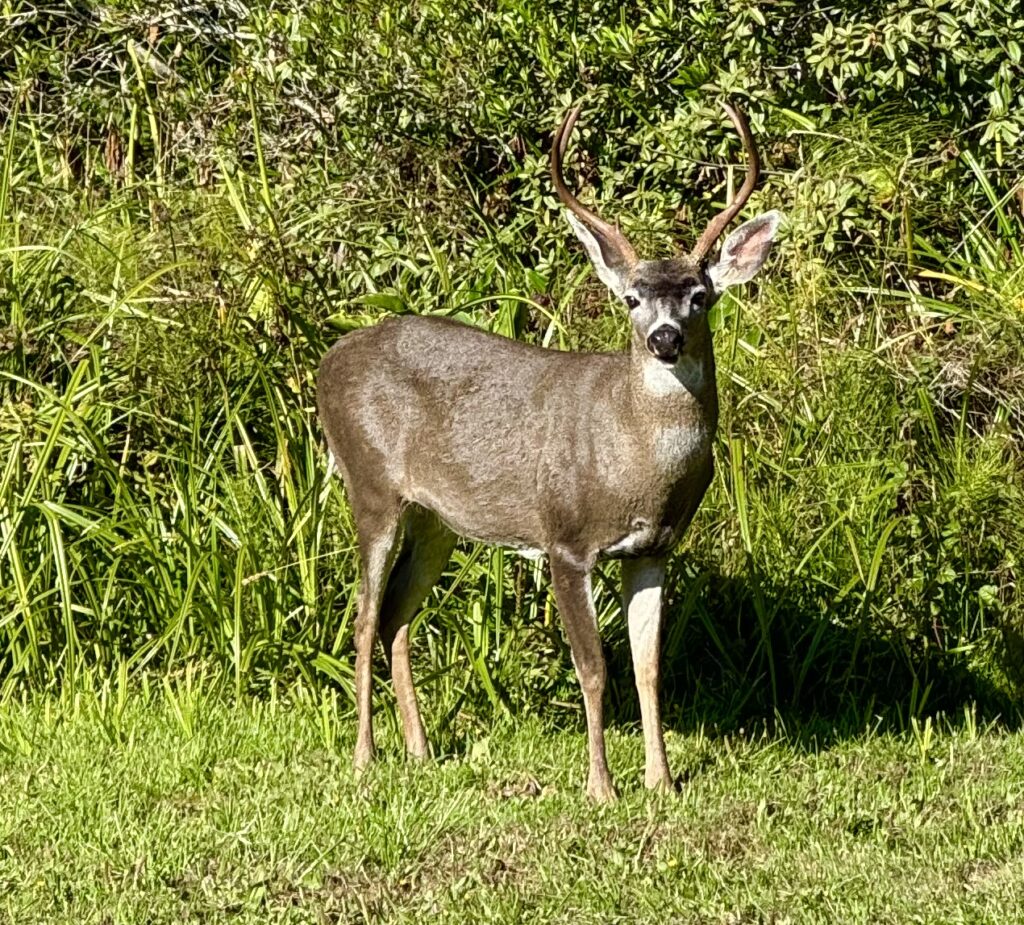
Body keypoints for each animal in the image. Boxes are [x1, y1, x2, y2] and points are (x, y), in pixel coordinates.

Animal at [315, 99, 778, 794]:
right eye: (630, 298)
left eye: (701, 296)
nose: (665, 339)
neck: (635, 459)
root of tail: (326, 362)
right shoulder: (566, 540)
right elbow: (594, 668)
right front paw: (601, 787)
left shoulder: (654, 549)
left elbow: (648, 667)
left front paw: (661, 782)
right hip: (369, 485)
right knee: (365, 616)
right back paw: (366, 757)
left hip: (436, 519)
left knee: (397, 614)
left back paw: (421, 752)